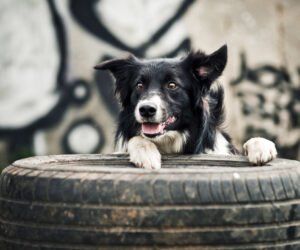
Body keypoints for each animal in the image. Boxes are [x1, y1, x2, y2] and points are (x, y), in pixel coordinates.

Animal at [95, 45, 278, 170]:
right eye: (139, 85)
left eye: (172, 85)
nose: (146, 109)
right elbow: (136, 139)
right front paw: (146, 153)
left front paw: (261, 146)